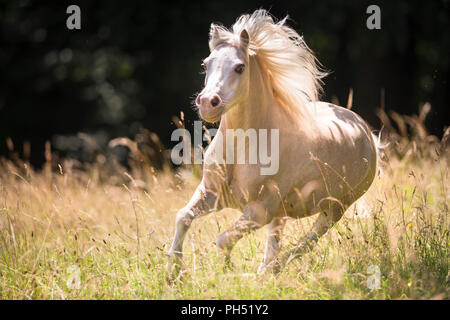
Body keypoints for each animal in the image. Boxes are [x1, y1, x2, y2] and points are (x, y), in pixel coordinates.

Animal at [167, 10, 378, 276]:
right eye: (206, 64)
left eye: (239, 67)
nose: (207, 103)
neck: (241, 148)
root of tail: (366, 132)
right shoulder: (211, 193)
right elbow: (183, 216)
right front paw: (174, 272)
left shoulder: (259, 211)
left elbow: (223, 240)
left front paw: (227, 273)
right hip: (283, 213)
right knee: (275, 244)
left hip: (334, 209)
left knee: (306, 243)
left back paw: (270, 272)